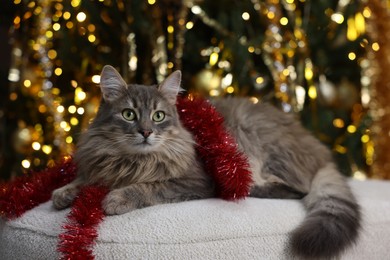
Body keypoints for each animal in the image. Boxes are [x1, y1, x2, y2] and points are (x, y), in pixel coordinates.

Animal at [51, 65, 360, 260]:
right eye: (128, 114)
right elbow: (83, 179)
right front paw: (63, 192)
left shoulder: (194, 180)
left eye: (159, 116)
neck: (129, 159)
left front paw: (116, 198)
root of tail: (320, 150)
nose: (146, 132)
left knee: (295, 190)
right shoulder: (100, 164)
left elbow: (147, 187)